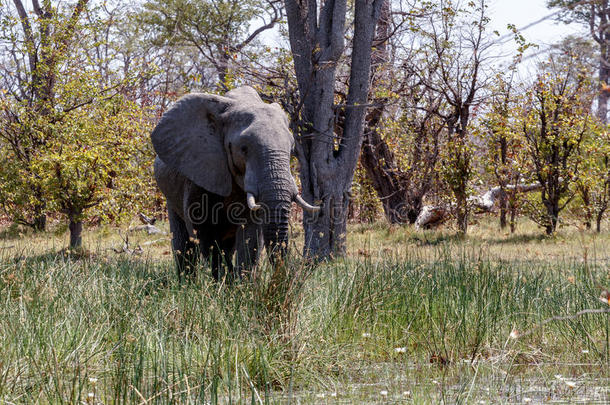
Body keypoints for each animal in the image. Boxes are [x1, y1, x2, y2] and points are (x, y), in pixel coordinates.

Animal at [151, 86, 318, 280]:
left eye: (291, 149)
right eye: (243, 149)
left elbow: (251, 235)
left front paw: (241, 284)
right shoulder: (200, 170)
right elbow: (203, 230)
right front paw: (221, 282)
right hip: (170, 193)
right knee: (184, 243)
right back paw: (187, 282)